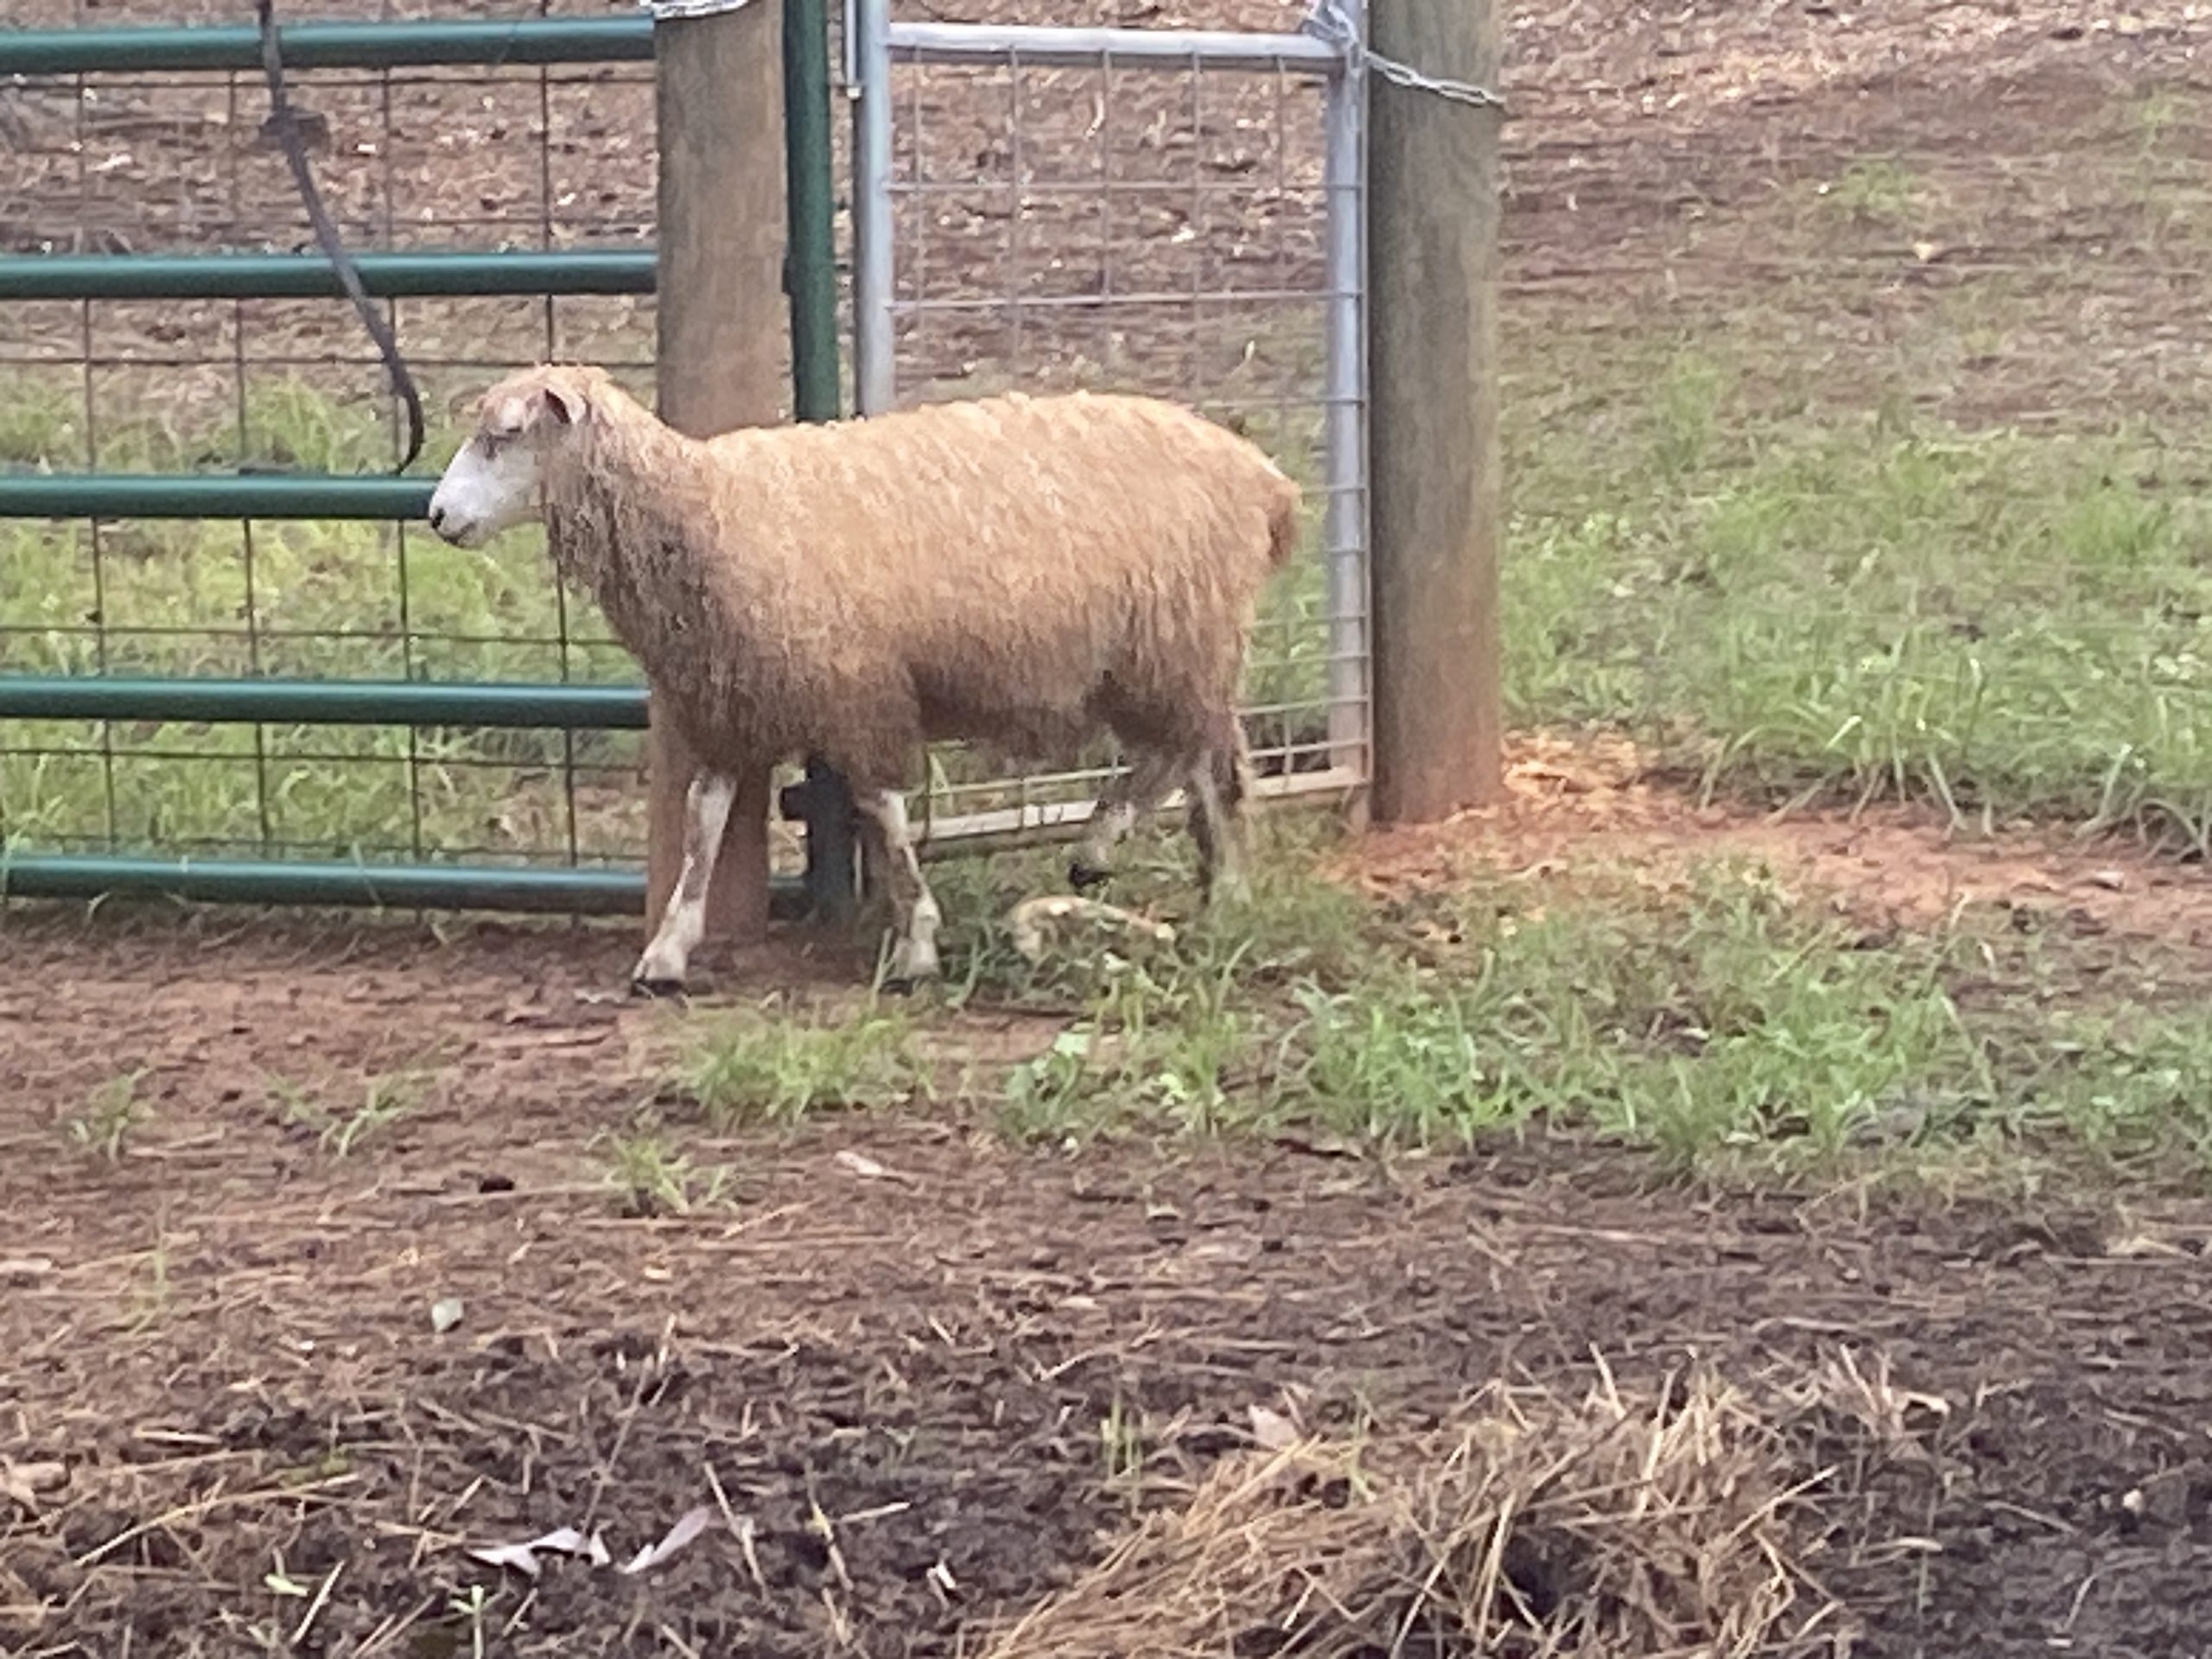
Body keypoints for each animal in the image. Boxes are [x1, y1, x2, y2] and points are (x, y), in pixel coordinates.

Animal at [424, 363, 1302, 993]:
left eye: (504, 436)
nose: (434, 517)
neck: (708, 512)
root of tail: (1266, 480)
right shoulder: (730, 702)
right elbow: (704, 822)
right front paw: (668, 950)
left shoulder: (859, 690)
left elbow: (884, 811)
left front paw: (917, 943)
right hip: (1162, 653)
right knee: (1201, 760)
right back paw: (1195, 883)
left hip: (1176, 641)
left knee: (1196, 756)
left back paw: (1132, 856)